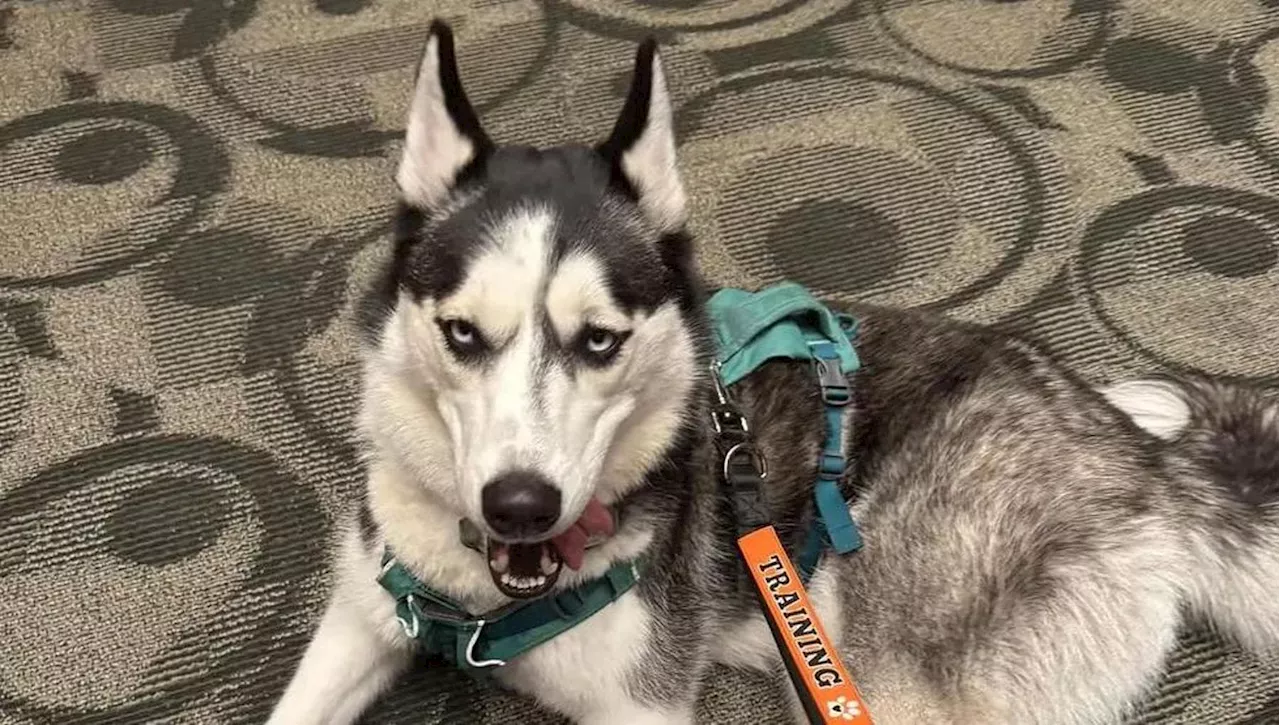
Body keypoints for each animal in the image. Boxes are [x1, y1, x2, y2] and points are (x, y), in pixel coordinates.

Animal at [270, 19, 1280, 722]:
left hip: (867, 665)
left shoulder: (640, 703)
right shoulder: (359, 621)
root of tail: (1146, 467)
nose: (520, 504)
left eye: (598, 340)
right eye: (463, 333)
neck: (477, 598)